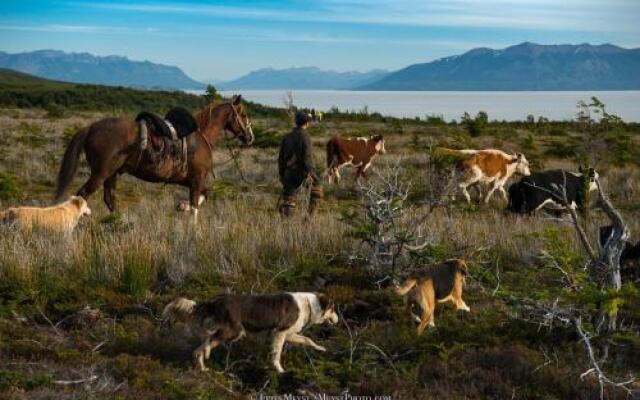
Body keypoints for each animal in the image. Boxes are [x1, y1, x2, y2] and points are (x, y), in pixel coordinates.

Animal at [55, 95, 254, 223]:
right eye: (243, 114)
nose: (250, 137)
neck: (202, 136)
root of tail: (91, 128)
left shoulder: (187, 180)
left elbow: (204, 196)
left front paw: (181, 206)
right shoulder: (197, 179)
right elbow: (195, 207)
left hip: (111, 174)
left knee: (109, 199)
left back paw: (119, 224)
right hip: (100, 174)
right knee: (82, 195)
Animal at [162, 290, 338, 372]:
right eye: (333, 308)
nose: (337, 320)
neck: (308, 305)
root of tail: (215, 301)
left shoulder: (288, 334)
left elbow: (308, 340)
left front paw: (320, 348)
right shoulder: (279, 333)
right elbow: (276, 355)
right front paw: (280, 370)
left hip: (228, 332)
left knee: (203, 343)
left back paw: (203, 366)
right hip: (233, 331)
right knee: (206, 341)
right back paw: (205, 354)